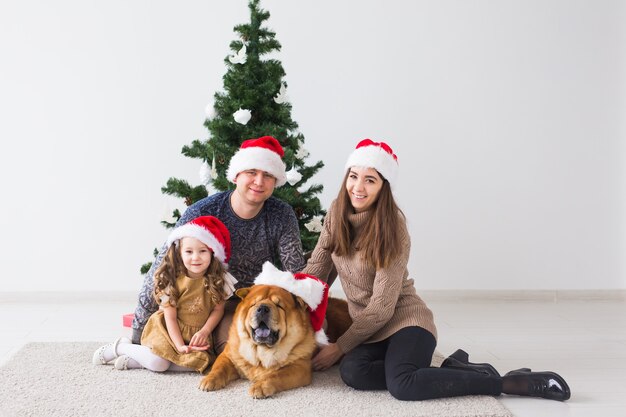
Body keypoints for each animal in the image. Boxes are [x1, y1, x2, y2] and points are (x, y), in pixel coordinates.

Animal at [197, 270, 348, 396]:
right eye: (254, 304)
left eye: (279, 305)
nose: (263, 308)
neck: (260, 351)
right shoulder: (228, 355)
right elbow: (218, 368)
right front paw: (208, 380)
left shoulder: (299, 367)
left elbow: (276, 375)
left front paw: (260, 387)